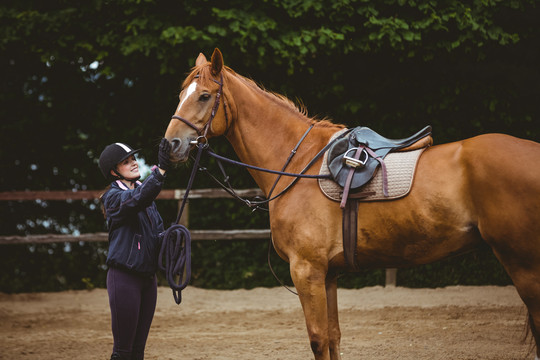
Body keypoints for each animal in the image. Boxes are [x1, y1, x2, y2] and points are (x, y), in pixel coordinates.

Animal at [162, 48, 540, 360]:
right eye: (180, 95)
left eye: (205, 96)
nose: (169, 146)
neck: (299, 165)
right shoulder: (328, 275)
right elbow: (334, 338)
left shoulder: (307, 271)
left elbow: (317, 339)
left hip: (523, 266)